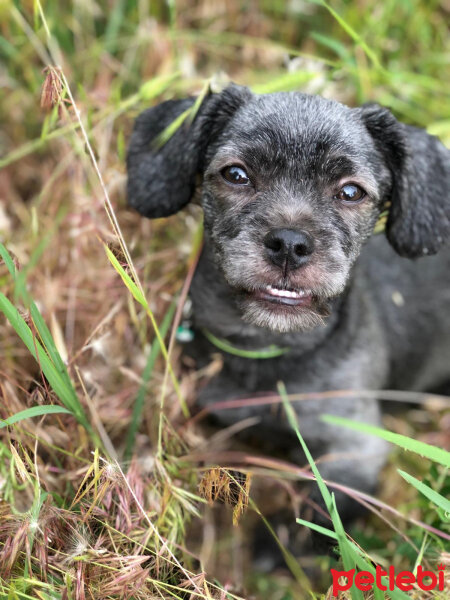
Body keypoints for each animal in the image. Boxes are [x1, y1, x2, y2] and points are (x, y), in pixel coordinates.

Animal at [126, 85, 450, 540]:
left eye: (351, 192)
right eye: (236, 174)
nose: (289, 244)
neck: (266, 347)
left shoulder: (357, 449)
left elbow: (321, 514)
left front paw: (277, 542)